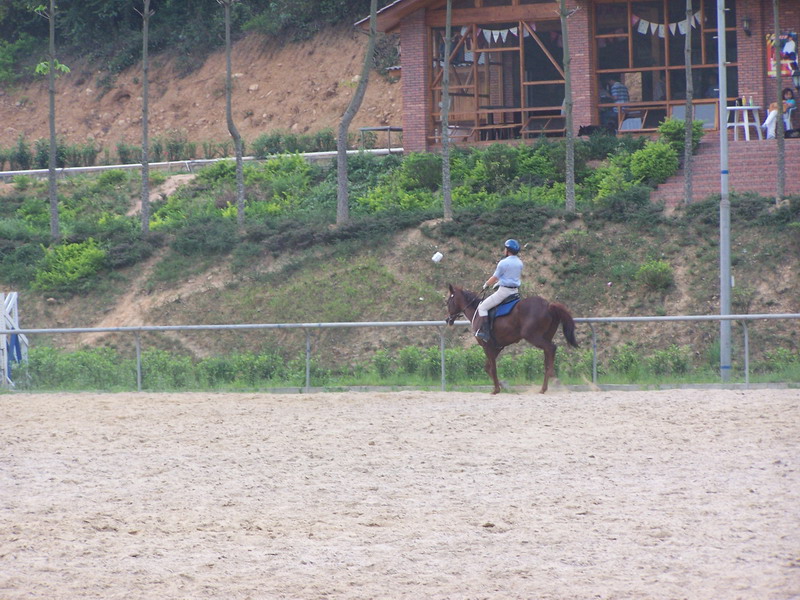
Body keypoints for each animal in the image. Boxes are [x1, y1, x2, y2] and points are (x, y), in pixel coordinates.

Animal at [446, 284, 580, 394]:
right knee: (548, 354)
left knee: (551, 348)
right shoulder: (497, 347)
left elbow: (492, 368)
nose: (448, 320)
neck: (477, 312)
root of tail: (548, 305)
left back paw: (551, 380)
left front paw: (496, 389)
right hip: (545, 336)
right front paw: (502, 386)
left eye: (448, 301)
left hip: (533, 336)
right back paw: (546, 385)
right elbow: (488, 367)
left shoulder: (487, 346)